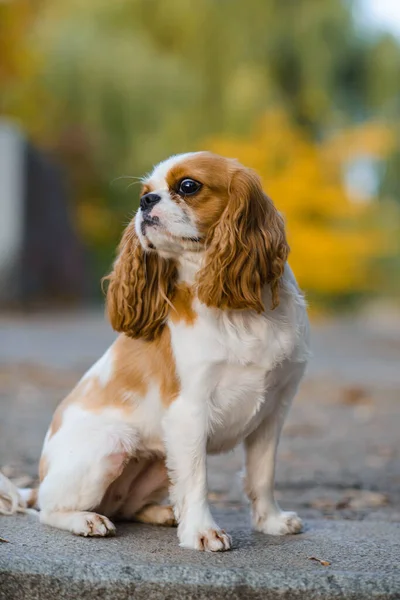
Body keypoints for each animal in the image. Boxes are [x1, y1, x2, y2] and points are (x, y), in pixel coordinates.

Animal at [0, 152, 310, 552]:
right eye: (144, 193)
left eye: (188, 186)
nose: (145, 202)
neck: (236, 311)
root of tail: (40, 479)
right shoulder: (189, 413)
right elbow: (197, 480)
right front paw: (202, 532)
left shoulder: (273, 412)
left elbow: (262, 474)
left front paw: (270, 521)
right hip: (112, 444)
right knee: (50, 509)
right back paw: (86, 519)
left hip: (160, 458)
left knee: (126, 507)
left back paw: (162, 513)